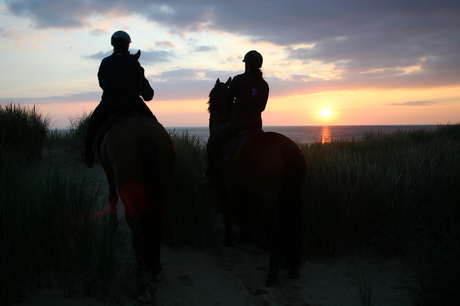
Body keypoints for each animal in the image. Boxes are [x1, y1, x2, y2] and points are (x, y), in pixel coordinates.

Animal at [207, 77, 308, 286]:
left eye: (213, 93)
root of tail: (285, 147)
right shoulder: (241, 187)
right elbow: (244, 210)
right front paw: (245, 236)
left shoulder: (224, 186)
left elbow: (227, 210)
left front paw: (229, 238)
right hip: (293, 196)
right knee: (295, 228)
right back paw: (294, 268)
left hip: (267, 201)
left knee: (274, 232)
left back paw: (272, 274)